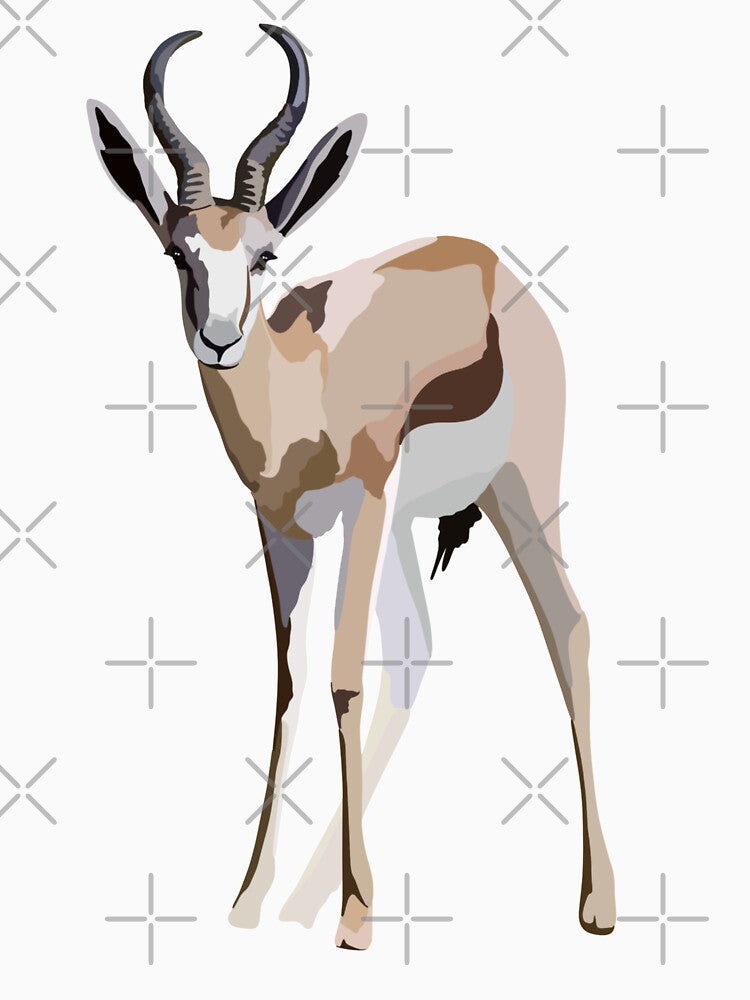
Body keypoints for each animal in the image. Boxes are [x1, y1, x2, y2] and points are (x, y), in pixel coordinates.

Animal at [88, 24, 616, 950]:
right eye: (176, 250)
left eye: (264, 253)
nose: (219, 339)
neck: (304, 383)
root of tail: (491, 268)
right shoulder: (279, 526)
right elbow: (290, 680)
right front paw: (249, 901)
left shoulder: (364, 499)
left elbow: (341, 675)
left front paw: (358, 918)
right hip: (416, 524)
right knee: (417, 649)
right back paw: (308, 899)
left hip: (518, 490)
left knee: (568, 627)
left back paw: (597, 904)